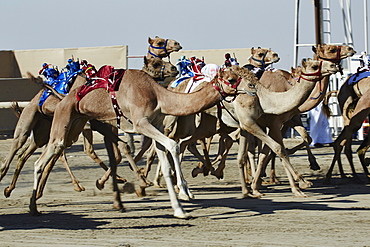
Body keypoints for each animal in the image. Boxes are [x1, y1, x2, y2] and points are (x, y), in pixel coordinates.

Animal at [0, 57, 178, 198]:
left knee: (28, 154)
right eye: (156, 63)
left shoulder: (105, 124)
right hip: (32, 123)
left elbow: (122, 148)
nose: (174, 68)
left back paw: (13, 189)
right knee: (20, 147)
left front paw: (134, 180)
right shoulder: (99, 123)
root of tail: (34, 101)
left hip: (44, 131)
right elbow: (119, 150)